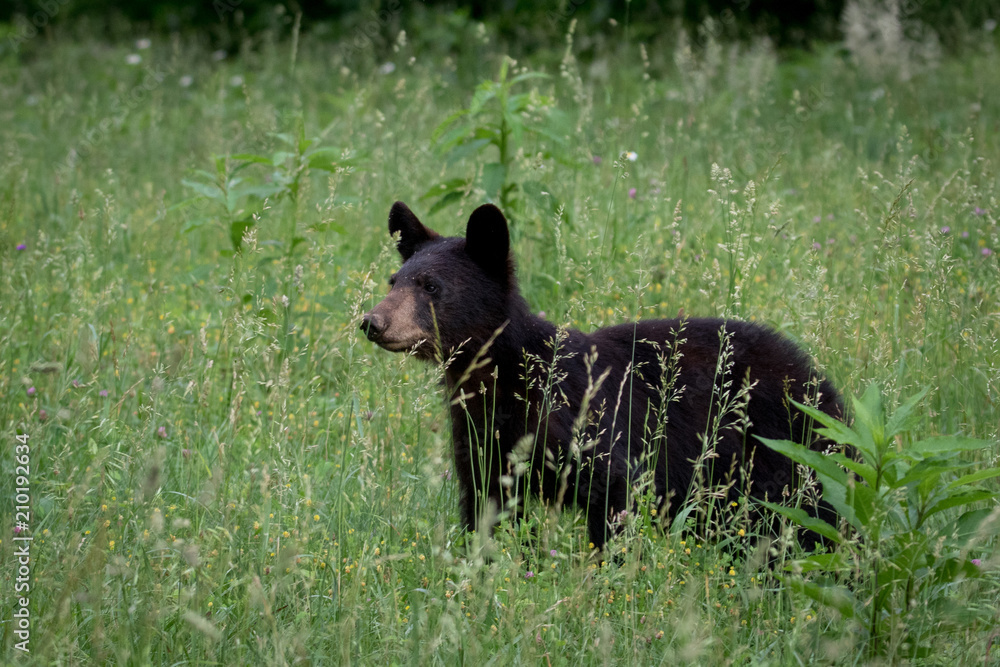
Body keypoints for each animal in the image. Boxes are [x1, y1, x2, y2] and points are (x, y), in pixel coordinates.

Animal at [361, 201, 843, 552]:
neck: (500, 379)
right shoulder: (482, 441)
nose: (372, 322)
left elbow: (613, 495)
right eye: (394, 280)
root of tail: (821, 380)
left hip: (780, 454)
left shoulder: (586, 423)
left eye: (430, 286)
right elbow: (485, 507)